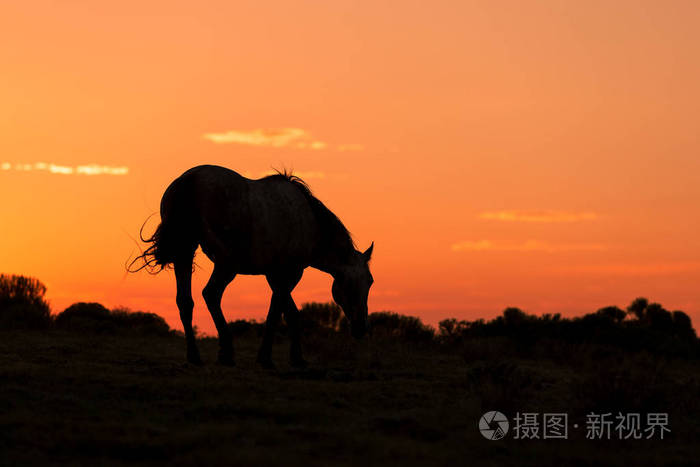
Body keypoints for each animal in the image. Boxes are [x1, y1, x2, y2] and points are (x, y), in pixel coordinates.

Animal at [131, 165, 372, 370]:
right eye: (353, 283)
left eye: (370, 282)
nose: (362, 328)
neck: (310, 222)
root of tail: (189, 181)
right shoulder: (289, 273)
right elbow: (278, 313)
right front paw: (269, 358)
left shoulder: (274, 275)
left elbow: (288, 312)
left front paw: (294, 358)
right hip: (226, 264)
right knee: (211, 294)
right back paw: (226, 354)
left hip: (185, 252)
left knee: (185, 301)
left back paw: (195, 357)